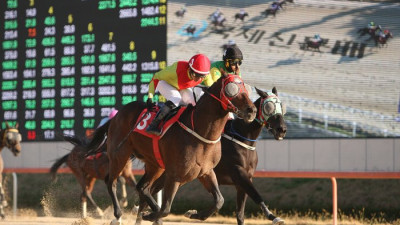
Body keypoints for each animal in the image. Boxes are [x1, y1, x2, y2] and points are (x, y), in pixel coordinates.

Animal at [87, 73, 256, 224]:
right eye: (231, 89)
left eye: (246, 88)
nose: (251, 110)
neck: (200, 132)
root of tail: (116, 116)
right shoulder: (175, 175)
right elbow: (166, 208)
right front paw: (151, 215)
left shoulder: (206, 171)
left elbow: (219, 201)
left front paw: (193, 214)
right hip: (119, 155)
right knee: (111, 181)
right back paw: (118, 214)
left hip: (155, 165)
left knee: (142, 187)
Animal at [134, 86, 288, 225]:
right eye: (268, 106)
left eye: (282, 106)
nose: (282, 129)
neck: (241, 139)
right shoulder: (239, 173)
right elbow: (256, 195)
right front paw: (274, 217)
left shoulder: (243, 180)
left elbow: (240, 214)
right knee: (146, 193)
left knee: (146, 191)